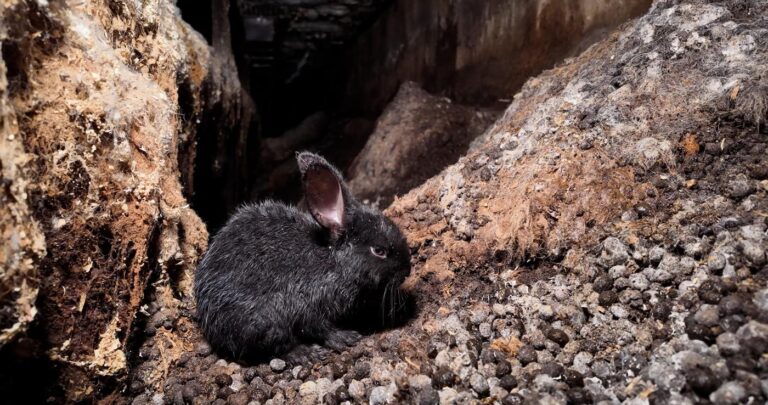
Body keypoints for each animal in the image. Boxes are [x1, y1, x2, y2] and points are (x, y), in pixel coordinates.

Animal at [194, 151, 412, 363]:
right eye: (379, 250)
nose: (407, 271)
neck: (335, 262)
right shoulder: (307, 301)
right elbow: (318, 326)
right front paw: (346, 337)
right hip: (262, 321)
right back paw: (305, 353)